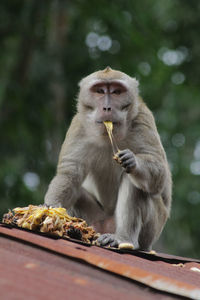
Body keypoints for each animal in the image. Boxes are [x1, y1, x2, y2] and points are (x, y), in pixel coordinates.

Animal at [44, 67, 172, 250]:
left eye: (117, 92)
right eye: (99, 91)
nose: (106, 107)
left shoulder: (142, 119)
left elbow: (159, 174)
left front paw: (133, 161)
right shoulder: (79, 125)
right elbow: (70, 174)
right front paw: (49, 209)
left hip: (152, 229)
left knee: (134, 183)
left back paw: (123, 239)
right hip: (97, 220)